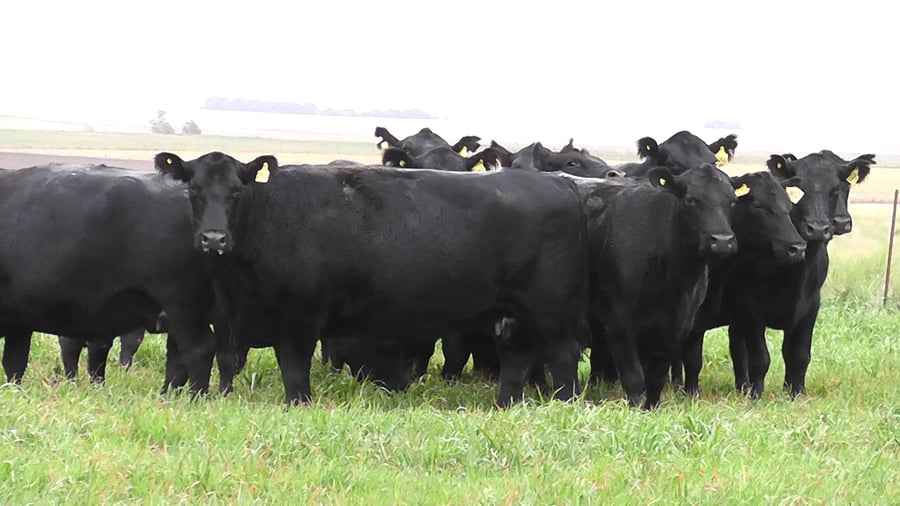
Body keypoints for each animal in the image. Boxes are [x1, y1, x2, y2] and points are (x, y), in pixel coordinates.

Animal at [0, 164, 216, 393]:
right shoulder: (19, 322)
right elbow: (14, 364)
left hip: (182, 303)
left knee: (199, 349)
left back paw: (196, 396)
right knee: (177, 358)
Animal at [156, 152, 591, 407]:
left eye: (235, 191)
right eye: (194, 189)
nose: (214, 238)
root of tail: (559, 182)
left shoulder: (299, 317)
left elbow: (293, 369)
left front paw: (298, 405)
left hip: (549, 309)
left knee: (562, 356)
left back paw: (564, 404)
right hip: (513, 313)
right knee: (516, 360)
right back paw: (505, 407)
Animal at [577, 163, 740, 409]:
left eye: (732, 201)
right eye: (691, 200)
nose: (722, 240)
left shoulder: (675, 327)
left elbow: (657, 377)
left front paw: (651, 407)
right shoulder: (618, 322)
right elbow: (634, 376)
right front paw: (635, 407)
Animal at [721, 151, 873, 399]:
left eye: (836, 189)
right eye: (800, 188)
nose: (818, 228)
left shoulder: (810, 307)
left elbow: (798, 355)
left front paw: (796, 393)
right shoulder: (750, 308)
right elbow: (760, 358)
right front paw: (756, 395)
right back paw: (744, 387)